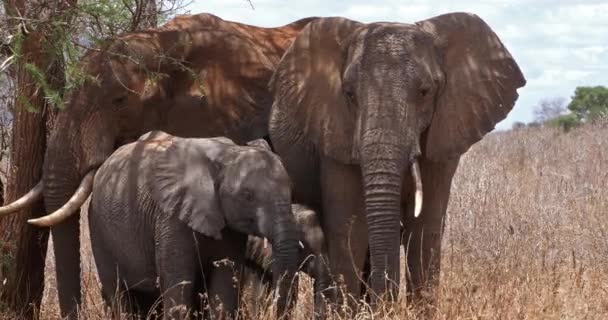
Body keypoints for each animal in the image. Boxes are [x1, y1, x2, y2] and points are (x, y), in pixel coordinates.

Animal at [89, 131, 300, 320]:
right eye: (248, 196)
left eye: (291, 191)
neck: (227, 154)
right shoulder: (172, 217)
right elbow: (179, 284)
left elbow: (224, 283)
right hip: (99, 230)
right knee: (118, 293)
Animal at [268, 13, 524, 304]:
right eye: (349, 94)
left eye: (425, 91)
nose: (387, 304)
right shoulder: (334, 134)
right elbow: (350, 228)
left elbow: (425, 228)